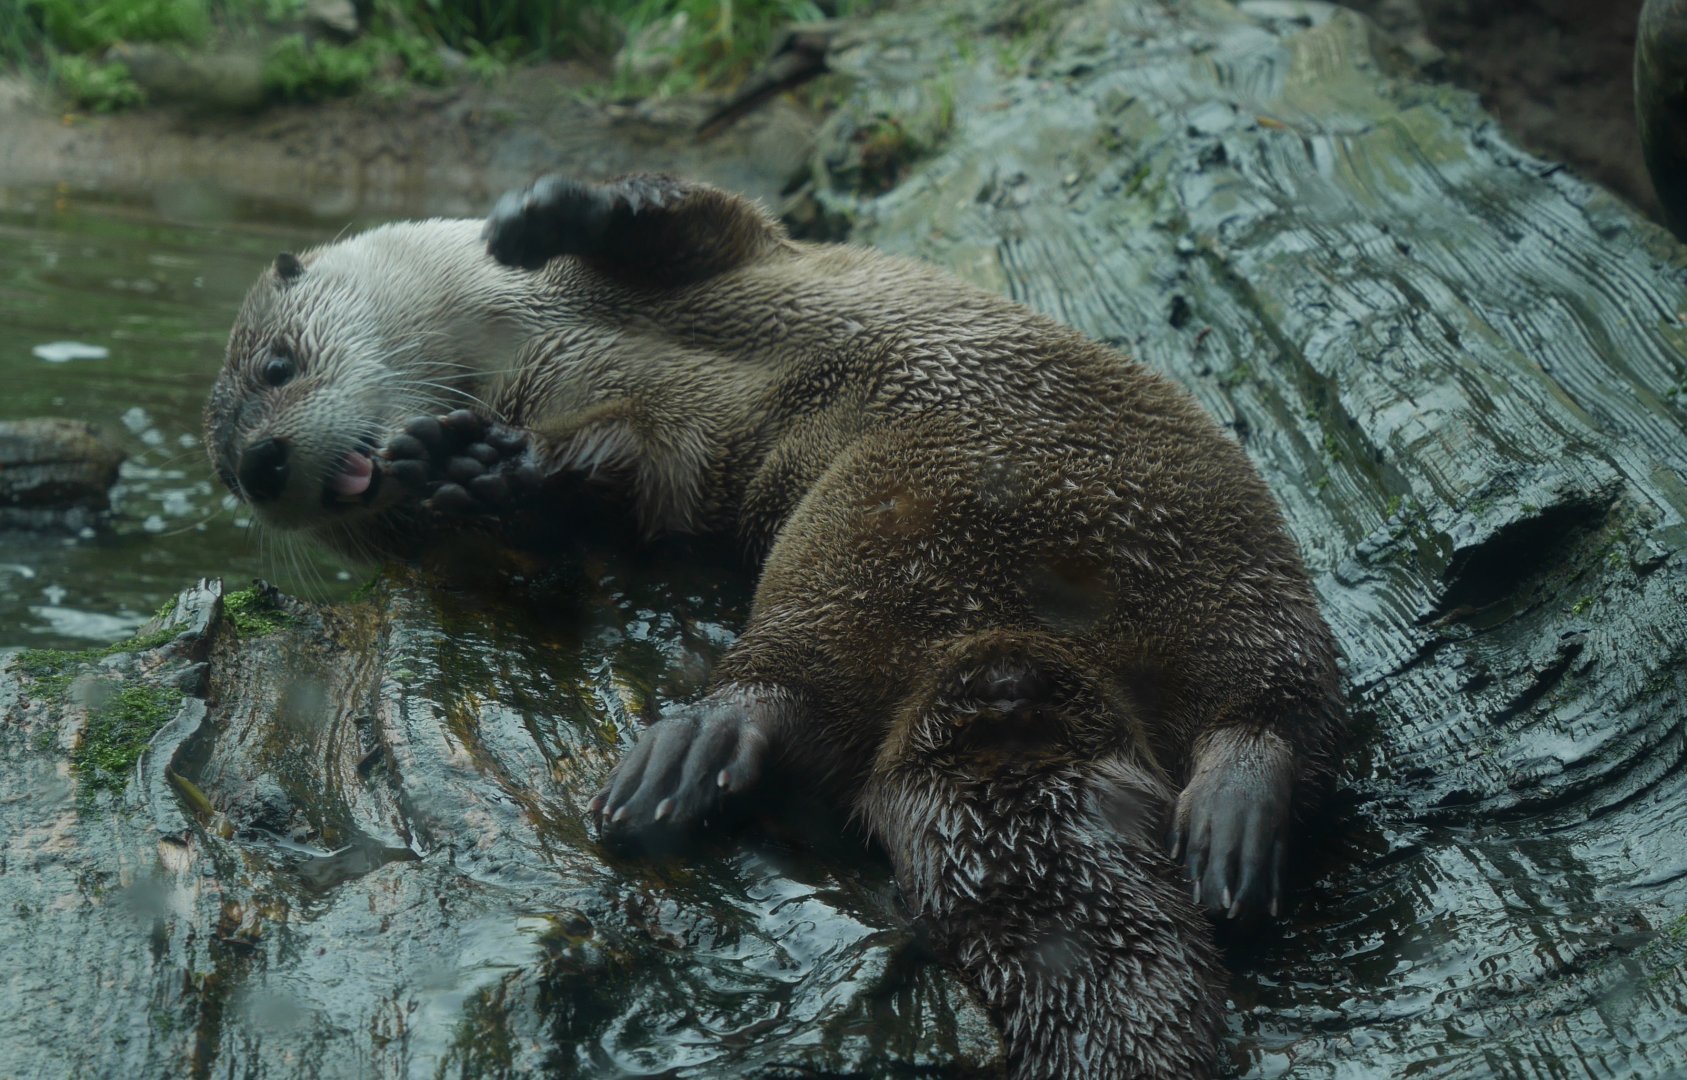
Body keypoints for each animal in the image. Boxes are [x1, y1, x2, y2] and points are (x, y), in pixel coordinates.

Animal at [206, 174, 1346, 1078]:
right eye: (228, 471)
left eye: (276, 365)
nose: (261, 465)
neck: (520, 338)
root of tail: (1013, 654)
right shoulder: (652, 460)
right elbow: (625, 490)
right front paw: (469, 475)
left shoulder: (732, 259)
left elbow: (691, 220)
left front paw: (545, 217)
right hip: (859, 536)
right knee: (802, 693)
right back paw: (694, 749)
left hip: (1209, 537)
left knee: (1281, 701)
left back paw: (1232, 819)